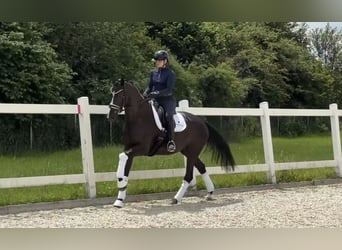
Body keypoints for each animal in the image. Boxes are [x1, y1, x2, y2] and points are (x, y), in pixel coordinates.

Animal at [107, 79, 235, 208]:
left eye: (119, 94)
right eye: (112, 93)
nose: (110, 115)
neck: (139, 118)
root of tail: (202, 121)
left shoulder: (142, 148)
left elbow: (122, 157)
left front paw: (120, 182)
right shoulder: (129, 148)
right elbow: (125, 168)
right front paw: (119, 198)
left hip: (193, 152)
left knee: (189, 175)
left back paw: (176, 199)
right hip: (188, 152)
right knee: (201, 167)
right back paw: (210, 194)